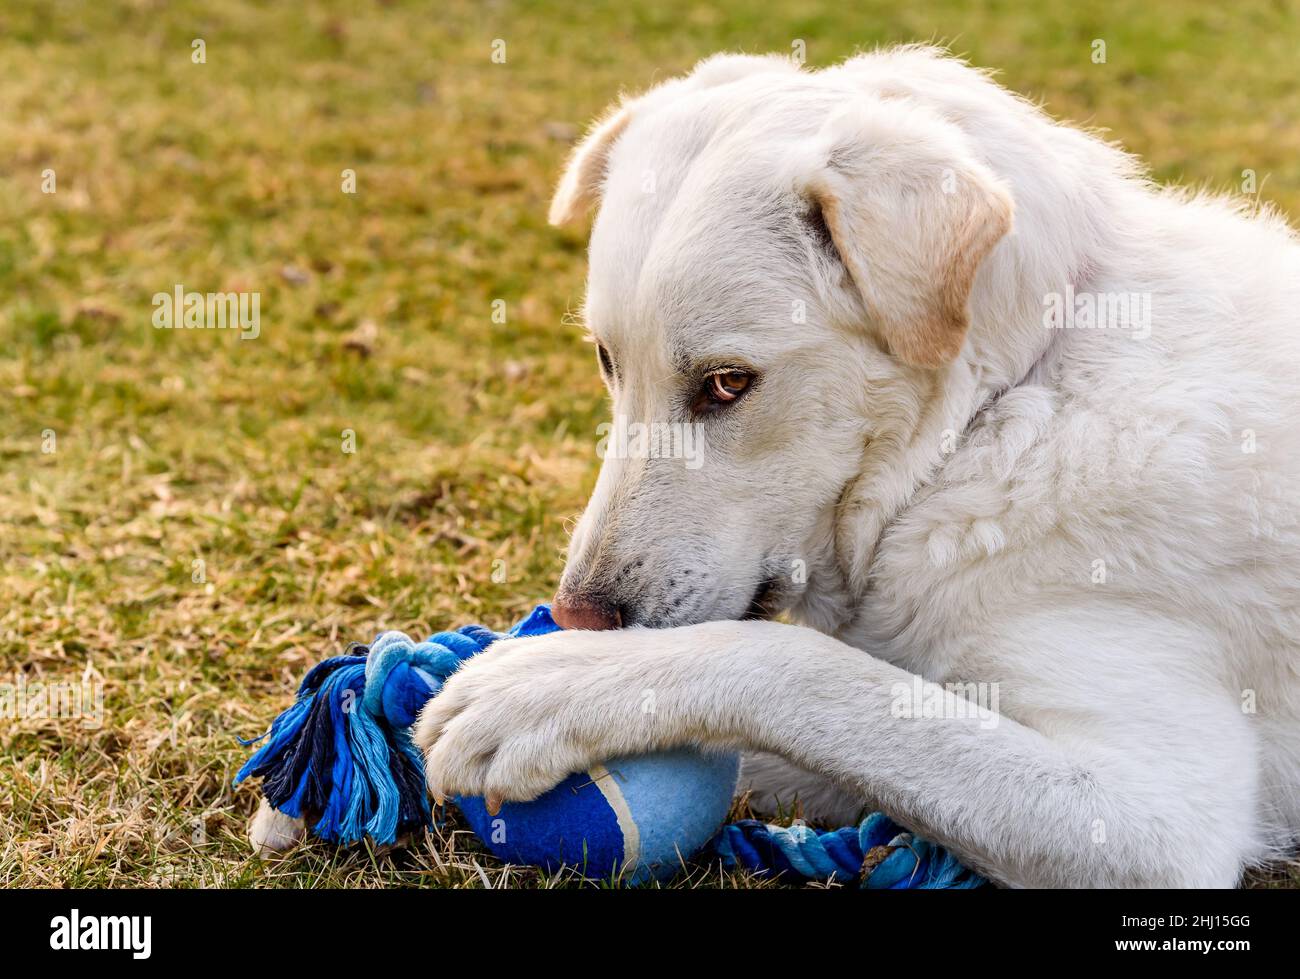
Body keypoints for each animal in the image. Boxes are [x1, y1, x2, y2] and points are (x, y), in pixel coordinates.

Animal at [263, 45, 1300, 884]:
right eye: (606, 360)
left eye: (727, 383)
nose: (578, 617)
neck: (996, 413)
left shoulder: (1154, 818)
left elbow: (806, 668)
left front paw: (550, 688)